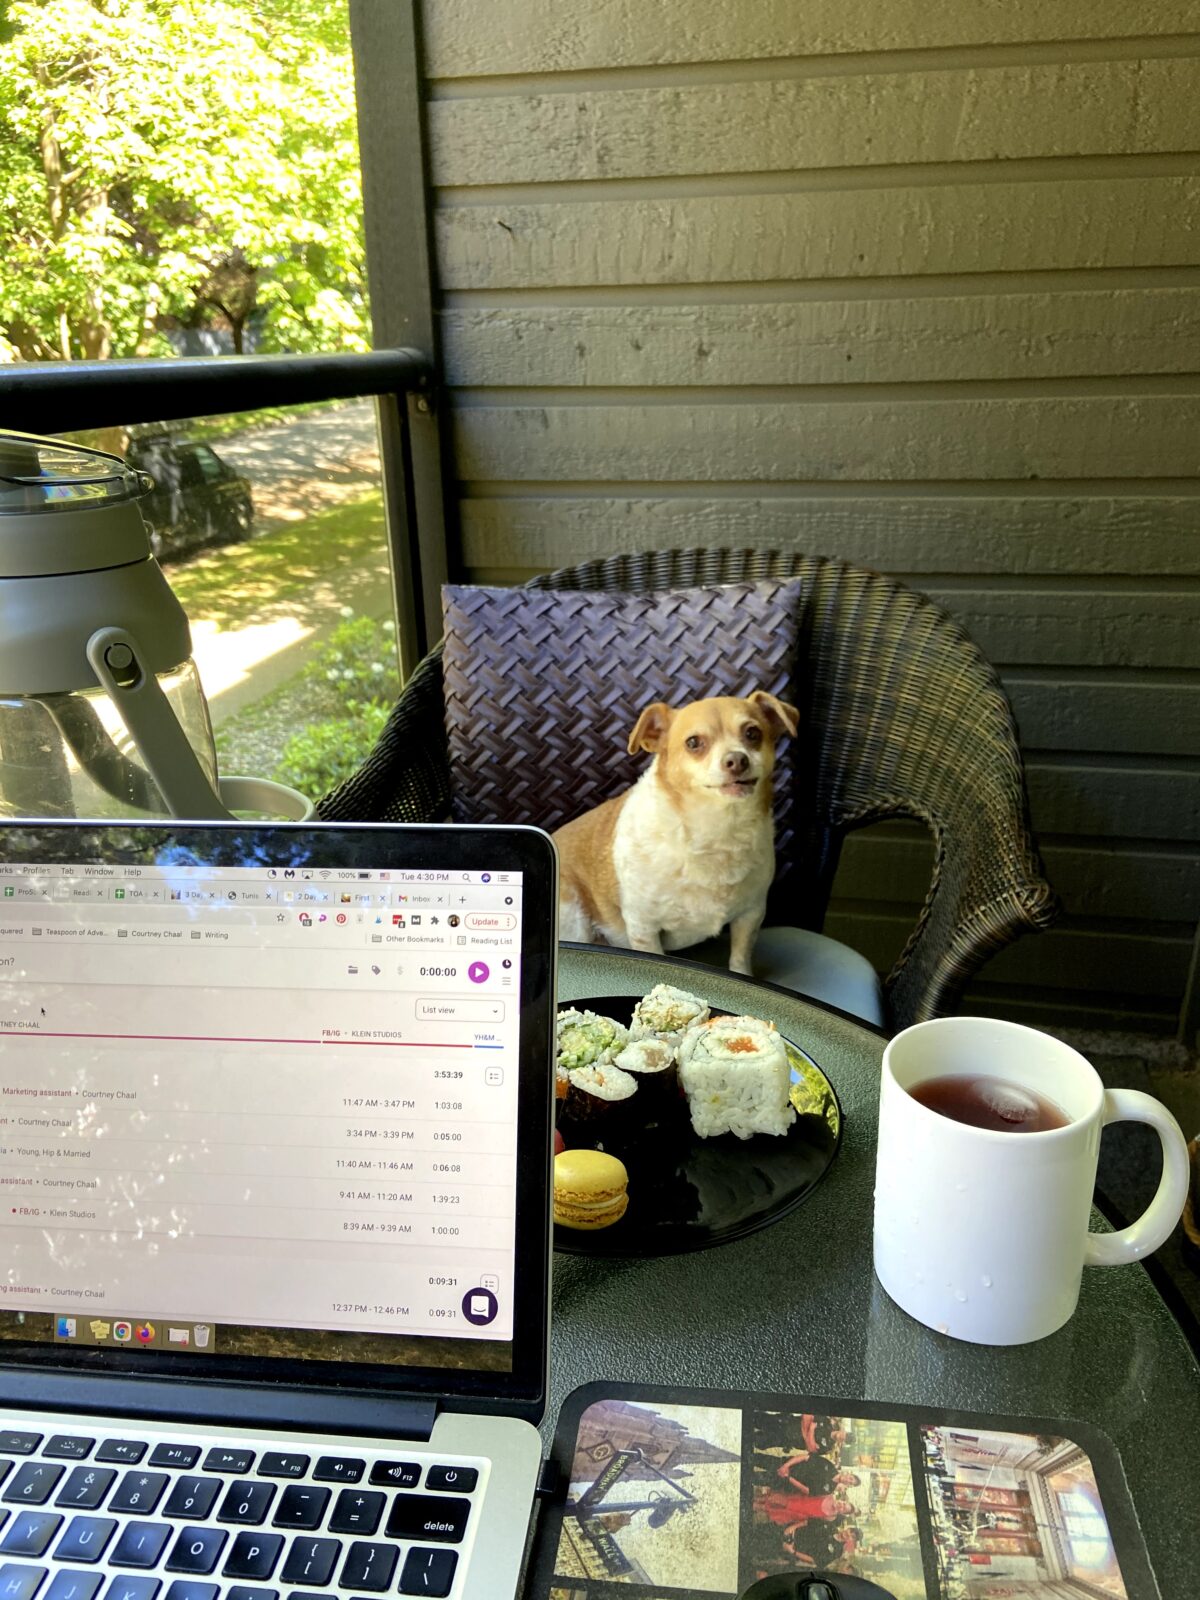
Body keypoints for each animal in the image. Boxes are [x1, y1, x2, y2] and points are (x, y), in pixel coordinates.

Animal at [553, 691, 800, 972]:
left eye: (752, 733)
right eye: (693, 743)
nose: (737, 760)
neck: (717, 831)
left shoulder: (751, 914)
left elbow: (739, 958)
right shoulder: (644, 928)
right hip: (574, 916)